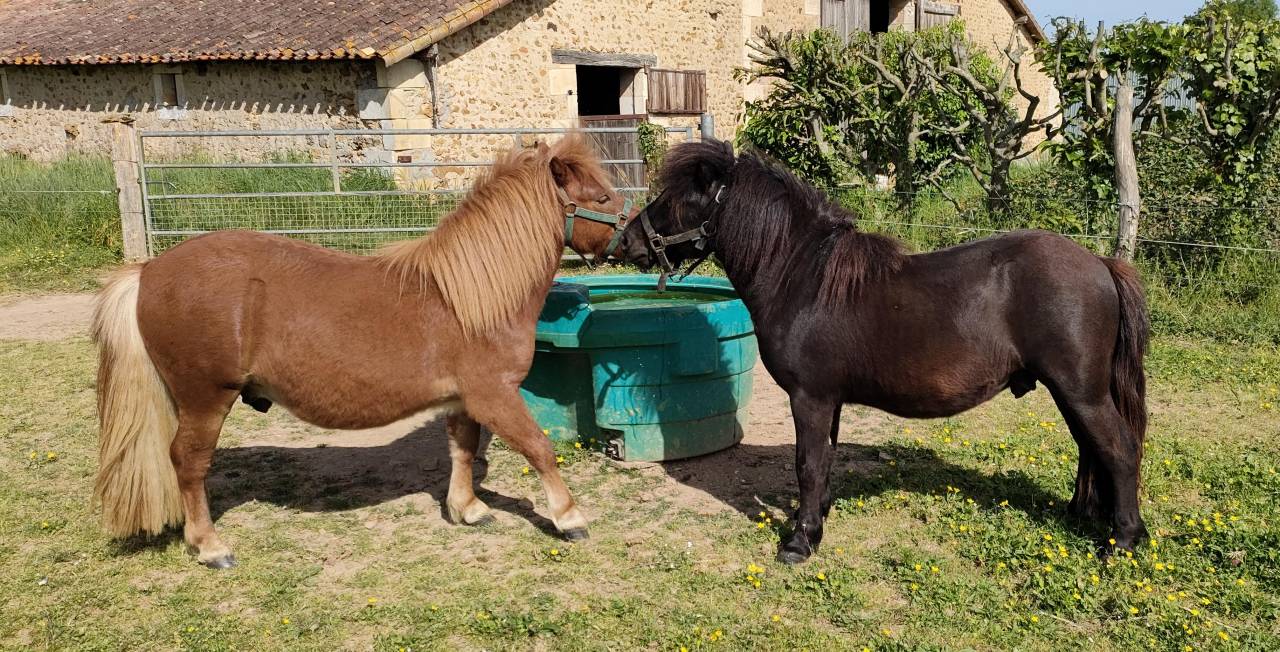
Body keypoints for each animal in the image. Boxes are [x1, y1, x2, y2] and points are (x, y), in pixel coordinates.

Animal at [91, 136, 635, 568]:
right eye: (602, 196)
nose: (639, 239)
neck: (466, 298)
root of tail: (149, 271)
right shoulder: (495, 395)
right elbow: (540, 449)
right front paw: (569, 517)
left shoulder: (463, 401)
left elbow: (462, 449)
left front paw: (468, 508)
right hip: (206, 398)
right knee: (188, 462)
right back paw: (210, 546)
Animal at [616, 139, 1149, 565]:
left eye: (675, 199)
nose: (627, 242)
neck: (802, 276)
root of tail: (1100, 263)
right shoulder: (827, 401)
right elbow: (824, 462)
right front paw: (817, 520)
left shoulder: (809, 398)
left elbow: (807, 464)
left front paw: (799, 543)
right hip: (1073, 393)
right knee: (1091, 448)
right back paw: (1083, 516)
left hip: (1080, 392)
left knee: (1119, 449)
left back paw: (1123, 540)